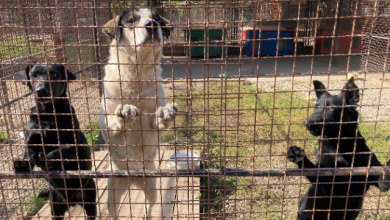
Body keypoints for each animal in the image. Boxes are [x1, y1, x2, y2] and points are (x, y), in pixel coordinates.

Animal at [98, 8, 177, 218]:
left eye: (156, 19)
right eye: (131, 20)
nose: (152, 25)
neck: (137, 74)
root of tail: (133, 178)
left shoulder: (152, 124)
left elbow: (158, 120)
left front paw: (164, 112)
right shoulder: (105, 126)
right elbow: (113, 121)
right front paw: (124, 113)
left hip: (151, 188)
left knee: (148, 207)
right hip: (113, 194)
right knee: (113, 212)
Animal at [286, 76, 390, 219]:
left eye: (331, 109)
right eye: (315, 107)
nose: (306, 123)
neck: (342, 147)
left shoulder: (376, 178)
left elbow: (384, 179)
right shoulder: (324, 182)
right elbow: (313, 170)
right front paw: (299, 156)